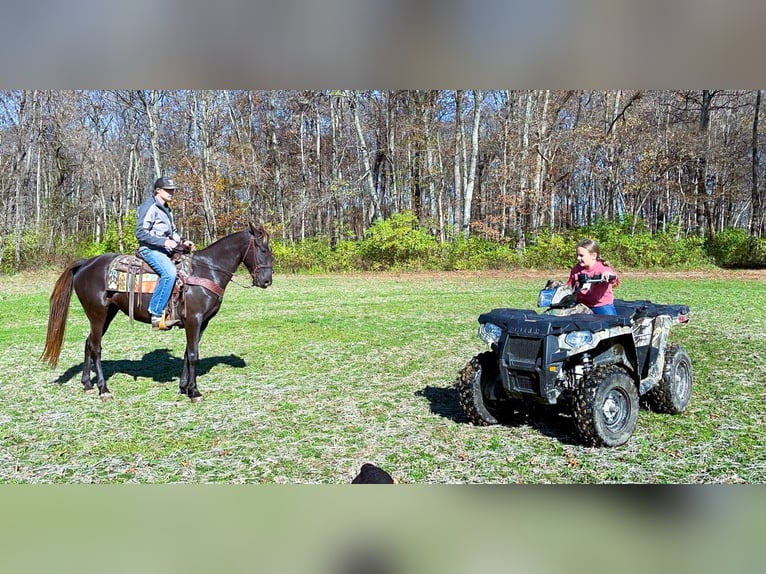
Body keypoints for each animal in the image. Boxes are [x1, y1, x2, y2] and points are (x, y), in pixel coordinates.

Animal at [42, 223, 272, 402]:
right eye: (261, 249)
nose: (266, 281)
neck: (207, 271)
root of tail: (85, 264)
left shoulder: (202, 323)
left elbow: (188, 353)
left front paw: (184, 388)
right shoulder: (194, 320)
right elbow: (193, 355)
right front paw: (195, 392)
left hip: (108, 314)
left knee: (88, 343)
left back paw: (87, 384)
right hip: (98, 314)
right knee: (96, 348)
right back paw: (103, 389)